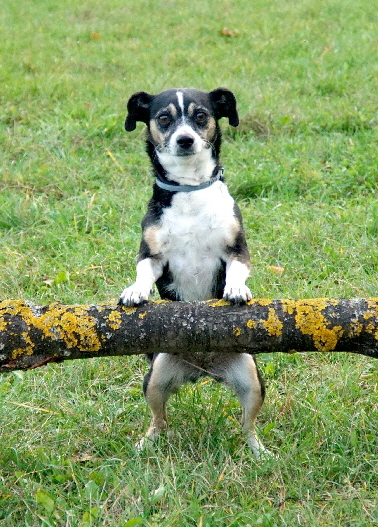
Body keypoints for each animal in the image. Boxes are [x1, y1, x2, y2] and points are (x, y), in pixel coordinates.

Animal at [119, 86, 268, 458]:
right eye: (163, 118)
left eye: (201, 116)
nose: (184, 139)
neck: (189, 191)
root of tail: (203, 369)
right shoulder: (152, 255)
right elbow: (143, 273)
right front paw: (135, 291)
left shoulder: (236, 250)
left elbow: (237, 271)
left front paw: (236, 290)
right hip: (156, 377)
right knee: (159, 420)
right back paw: (145, 444)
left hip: (251, 378)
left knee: (248, 425)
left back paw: (260, 452)